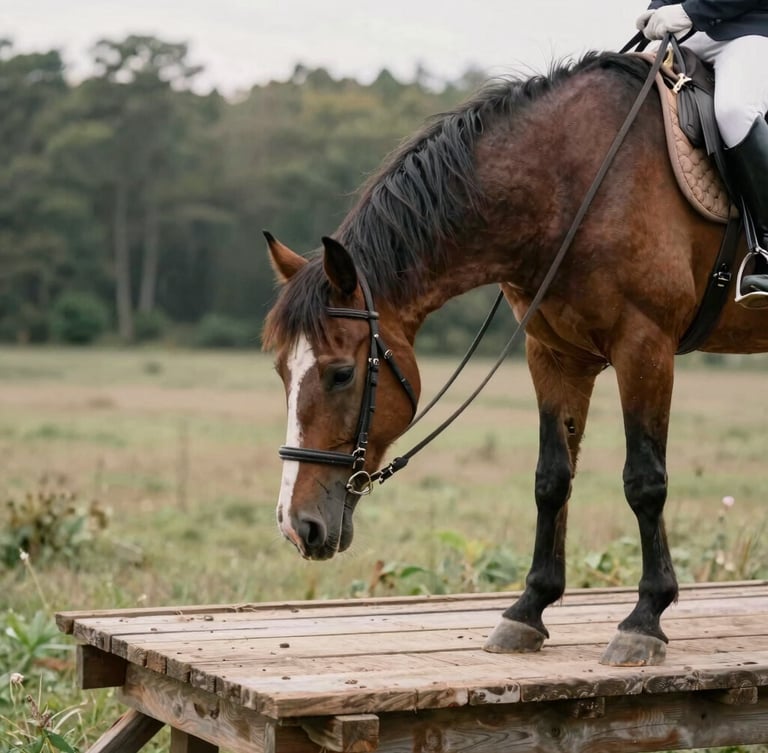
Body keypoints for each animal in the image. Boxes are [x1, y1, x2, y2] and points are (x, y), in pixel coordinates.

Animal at [262, 50, 768, 667]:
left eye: (341, 374)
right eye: (283, 373)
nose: (297, 526)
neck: (570, 184)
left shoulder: (643, 346)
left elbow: (644, 481)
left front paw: (645, 618)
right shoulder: (554, 354)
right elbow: (552, 478)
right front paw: (529, 608)